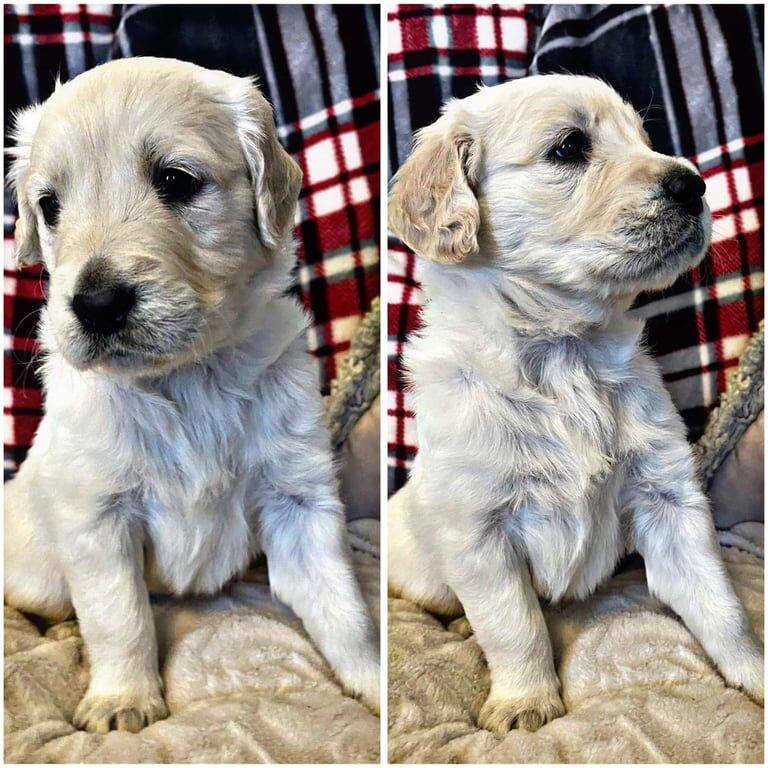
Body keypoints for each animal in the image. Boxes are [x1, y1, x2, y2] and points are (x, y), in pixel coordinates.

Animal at [4, 58, 380, 732]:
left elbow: (344, 607)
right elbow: (118, 615)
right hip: (37, 565)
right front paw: (123, 699)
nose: (95, 305)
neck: (184, 378)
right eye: (49, 205)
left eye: (176, 181)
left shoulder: (297, 498)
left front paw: (374, 681)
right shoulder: (97, 517)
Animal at [390, 75, 760, 736]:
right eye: (568, 148)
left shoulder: (669, 498)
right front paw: (525, 702)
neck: (566, 357)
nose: (694, 184)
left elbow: (719, 603)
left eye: (644, 138)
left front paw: (753, 673)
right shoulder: (478, 531)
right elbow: (514, 625)